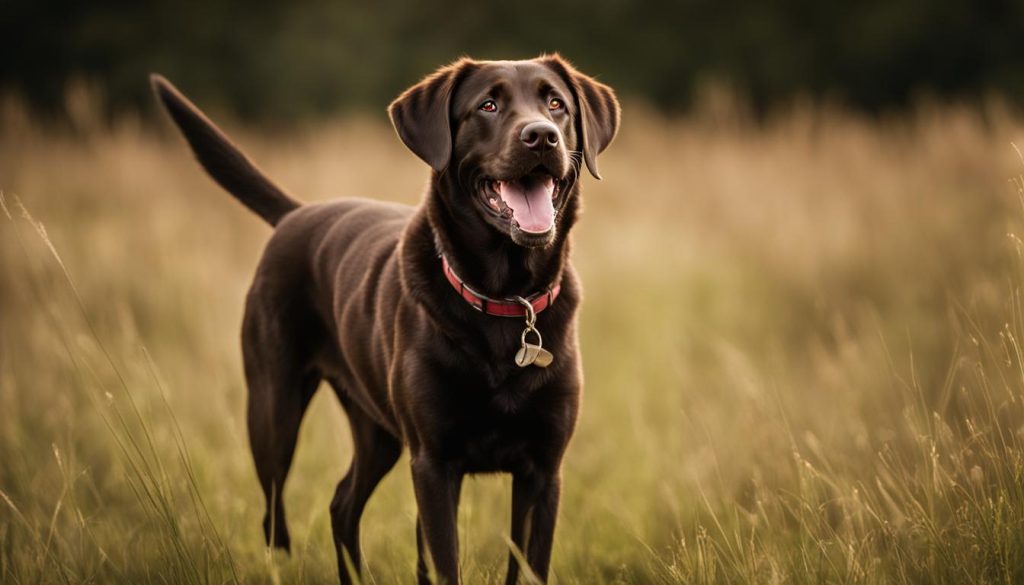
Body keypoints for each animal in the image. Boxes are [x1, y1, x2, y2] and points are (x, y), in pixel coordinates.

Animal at [149, 52, 614, 581]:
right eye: (488, 105)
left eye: (556, 104)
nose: (541, 135)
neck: (506, 300)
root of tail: (296, 214)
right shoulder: (433, 463)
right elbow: (443, 563)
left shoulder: (542, 469)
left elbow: (526, 566)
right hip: (273, 411)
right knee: (274, 517)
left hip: (377, 432)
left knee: (341, 504)